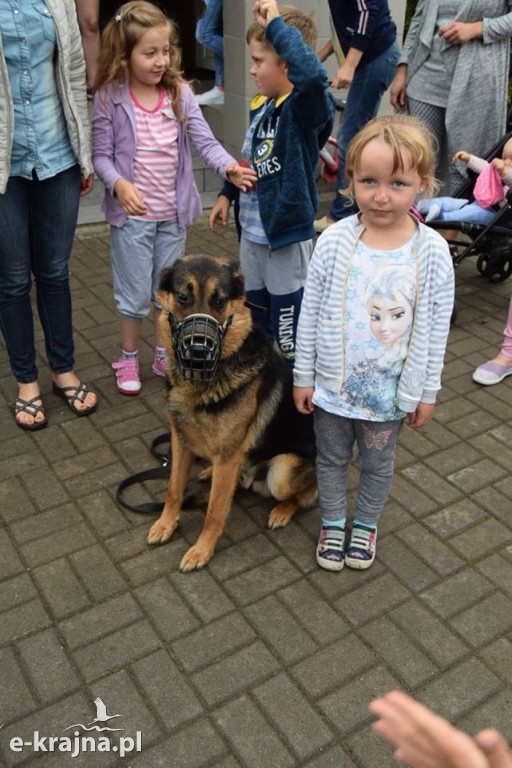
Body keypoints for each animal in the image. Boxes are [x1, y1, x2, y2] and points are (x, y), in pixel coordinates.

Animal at [146, 255, 318, 572]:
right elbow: (173, 490)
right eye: (183, 297)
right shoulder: (180, 441)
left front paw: (201, 550)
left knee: (307, 495)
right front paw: (166, 524)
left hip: (282, 472)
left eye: (220, 300)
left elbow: (214, 512)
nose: (198, 350)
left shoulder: (228, 456)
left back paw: (282, 511)